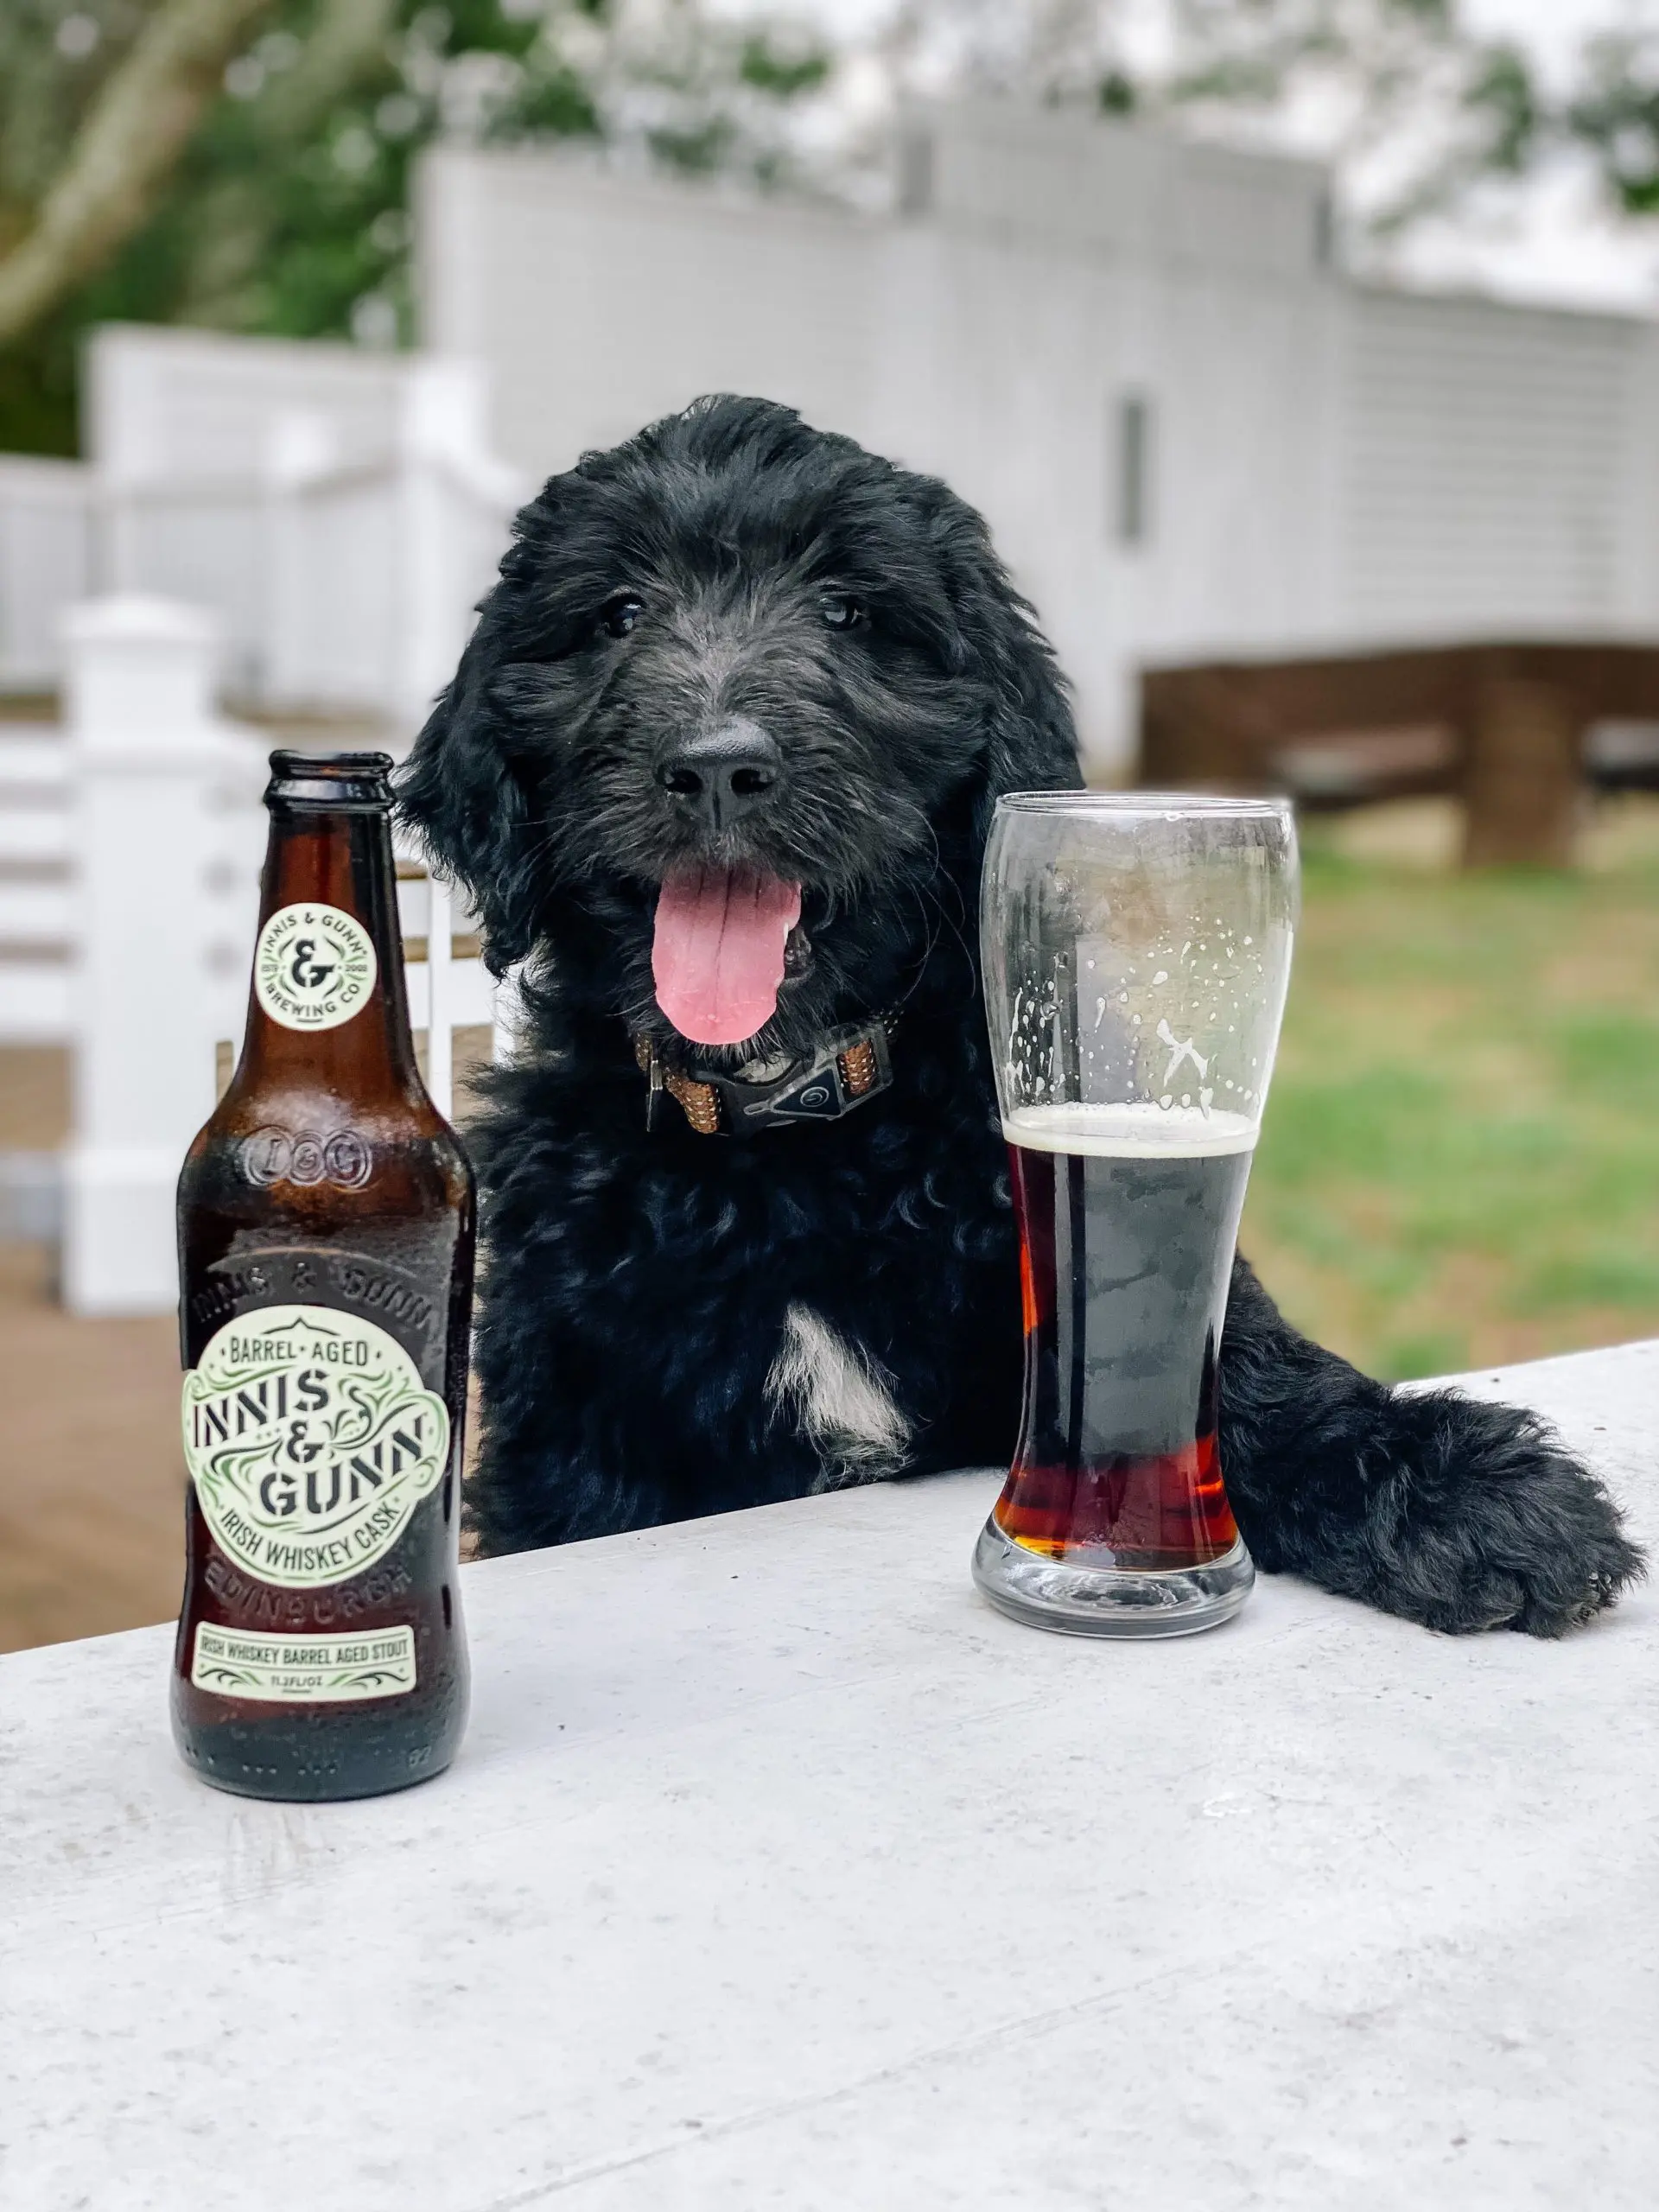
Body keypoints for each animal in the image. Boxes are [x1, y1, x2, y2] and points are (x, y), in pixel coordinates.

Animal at [396, 393, 1645, 1645]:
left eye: (850, 611)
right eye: (616, 613)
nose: (715, 767)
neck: (794, 1129)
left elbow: (1236, 1380)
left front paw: (1462, 1485)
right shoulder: (573, 1433)